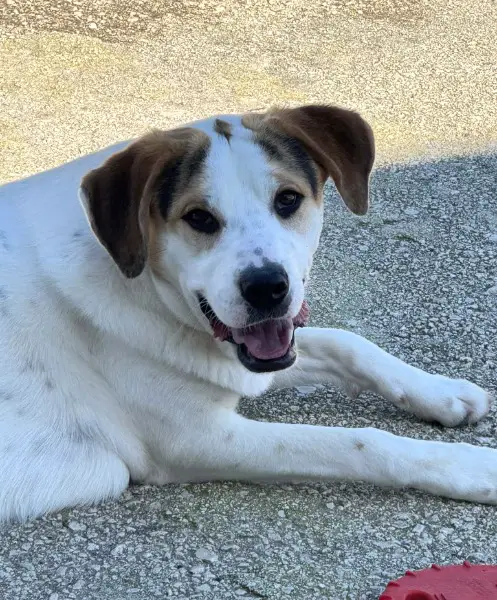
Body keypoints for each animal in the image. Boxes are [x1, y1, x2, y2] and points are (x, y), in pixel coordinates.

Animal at [0, 104, 496, 523]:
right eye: (198, 218)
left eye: (288, 199)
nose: (267, 288)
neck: (149, 290)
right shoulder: (198, 440)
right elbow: (360, 442)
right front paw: (471, 466)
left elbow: (348, 343)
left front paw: (442, 392)